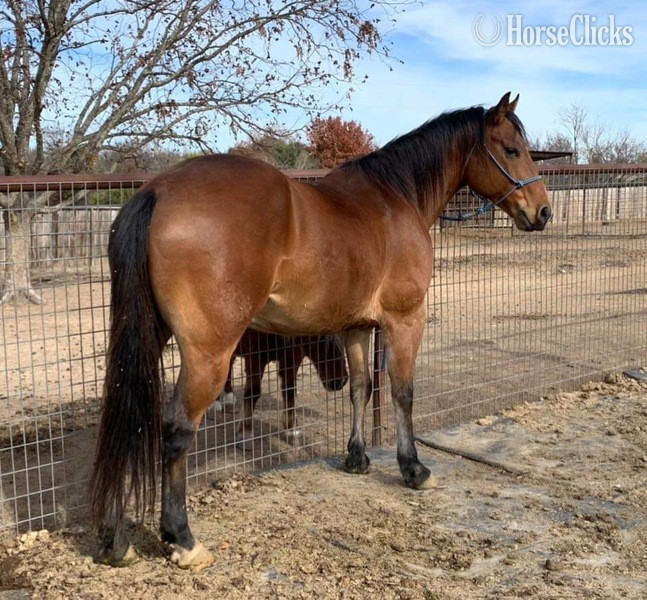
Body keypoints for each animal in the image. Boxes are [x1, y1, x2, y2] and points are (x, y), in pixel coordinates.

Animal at [217, 330, 348, 443]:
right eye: (320, 338)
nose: (340, 382)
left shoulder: (292, 357)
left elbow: (290, 391)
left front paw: (292, 428)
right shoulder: (255, 357)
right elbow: (253, 393)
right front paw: (246, 432)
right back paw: (219, 403)